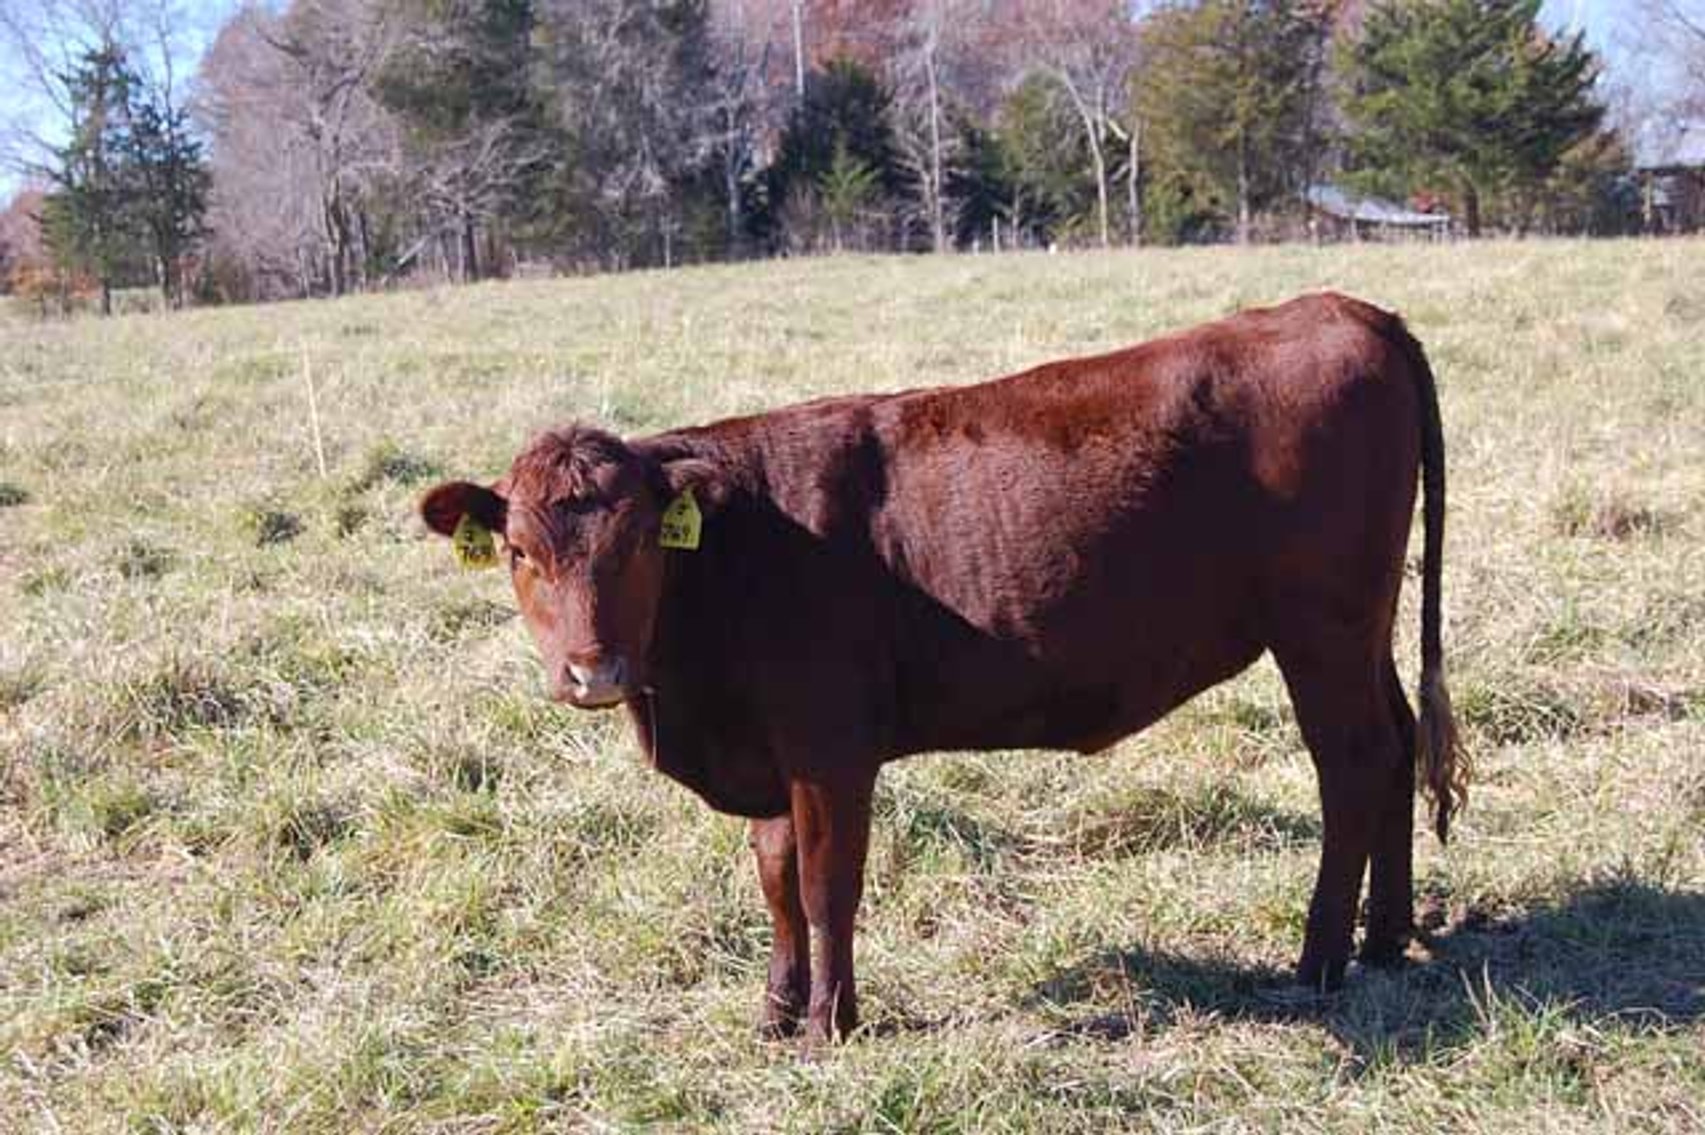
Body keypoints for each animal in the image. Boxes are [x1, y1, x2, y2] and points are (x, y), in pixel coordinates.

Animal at [420, 291, 1463, 1044]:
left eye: (639, 540)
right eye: (517, 549)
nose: (591, 671)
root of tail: (1346, 308)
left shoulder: (830, 747)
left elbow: (825, 883)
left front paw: (828, 1025)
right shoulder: (770, 752)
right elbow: (773, 876)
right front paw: (775, 1010)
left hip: (1320, 628)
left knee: (1352, 762)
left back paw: (1318, 960)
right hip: (1360, 626)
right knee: (1399, 739)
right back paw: (1386, 937)